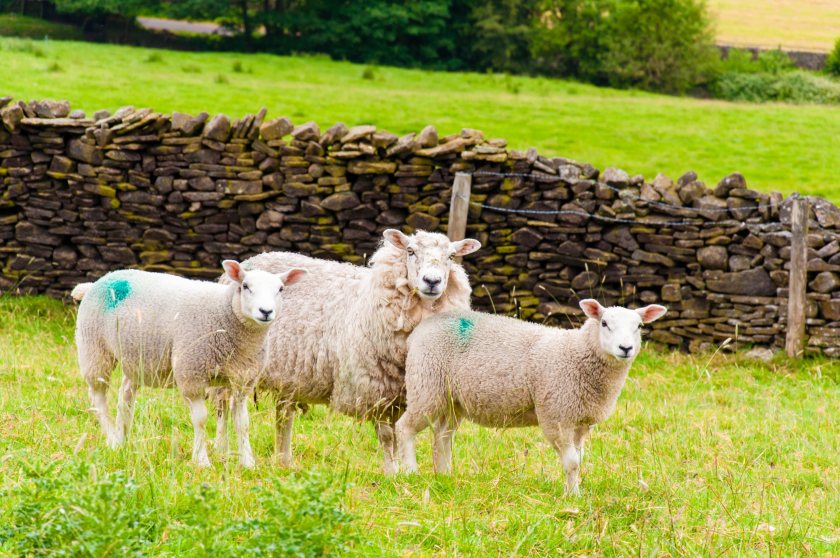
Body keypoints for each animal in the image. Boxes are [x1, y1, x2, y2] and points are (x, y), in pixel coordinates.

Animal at [70, 262, 304, 468]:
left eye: (280, 289)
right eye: (245, 286)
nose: (266, 311)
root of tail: (96, 282)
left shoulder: (243, 381)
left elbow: (243, 423)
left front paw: (248, 462)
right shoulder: (191, 373)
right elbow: (200, 420)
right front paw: (202, 460)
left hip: (136, 358)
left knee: (125, 397)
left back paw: (121, 440)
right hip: (94, 349)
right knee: (98, 398)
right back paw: (111, 438)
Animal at [213, 230, 482, 474]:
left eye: (451, 256)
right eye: (410, 251)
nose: (432, 281)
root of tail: (251, 260)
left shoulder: (407, 392)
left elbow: (413, 434)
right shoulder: (376, 389)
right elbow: (387, 436)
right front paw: (392, 474)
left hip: (289, 375)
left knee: (283, 416)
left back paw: (284, 461)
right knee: (224, 409)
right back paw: (221, 451)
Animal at [398, 300, 668, 496]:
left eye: (639, 326)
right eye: (604, 323)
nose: (626, 348)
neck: (577, 354)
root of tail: (420, 329)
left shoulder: (580, 422)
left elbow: (579, 460)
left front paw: (575, 491)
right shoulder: (556, 414)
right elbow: (571, 462)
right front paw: (572, 497)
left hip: (453, 400)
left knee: (442, 436)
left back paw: (444, 476)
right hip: (426, 384)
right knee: (405, 427)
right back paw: (410, 472)